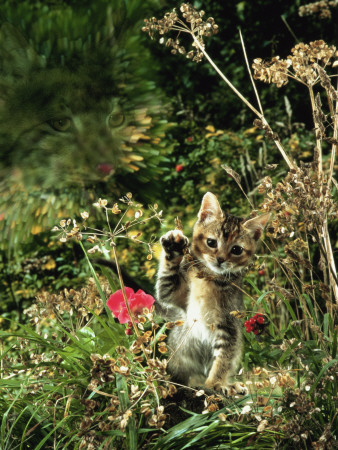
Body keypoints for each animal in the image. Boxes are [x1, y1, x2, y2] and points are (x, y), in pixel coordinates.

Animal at [157, 192, 270, 394]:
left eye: (236, 249)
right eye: (211, 242)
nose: (220, 259)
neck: (210, 279)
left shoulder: (229, 326)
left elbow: (223, 359)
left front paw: (216, 383)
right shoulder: (173, 297)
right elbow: (166, 280)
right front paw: (173, 249)